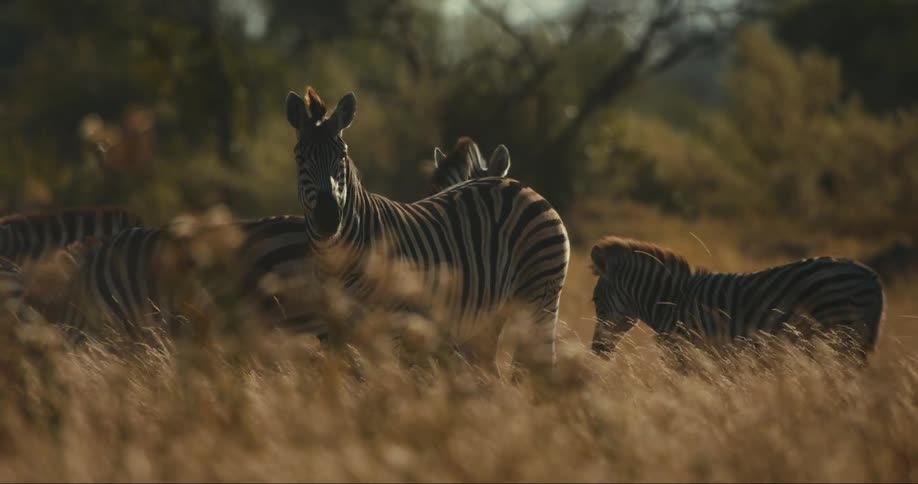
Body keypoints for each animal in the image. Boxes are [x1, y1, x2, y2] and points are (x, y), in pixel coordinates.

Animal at [286, 86, 570, 373]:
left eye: (342, 156)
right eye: (300, 157)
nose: (329, 217)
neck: (334, 256)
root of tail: (518, 184)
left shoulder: (396, 328)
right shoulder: (334, 333)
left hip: (539, 296)